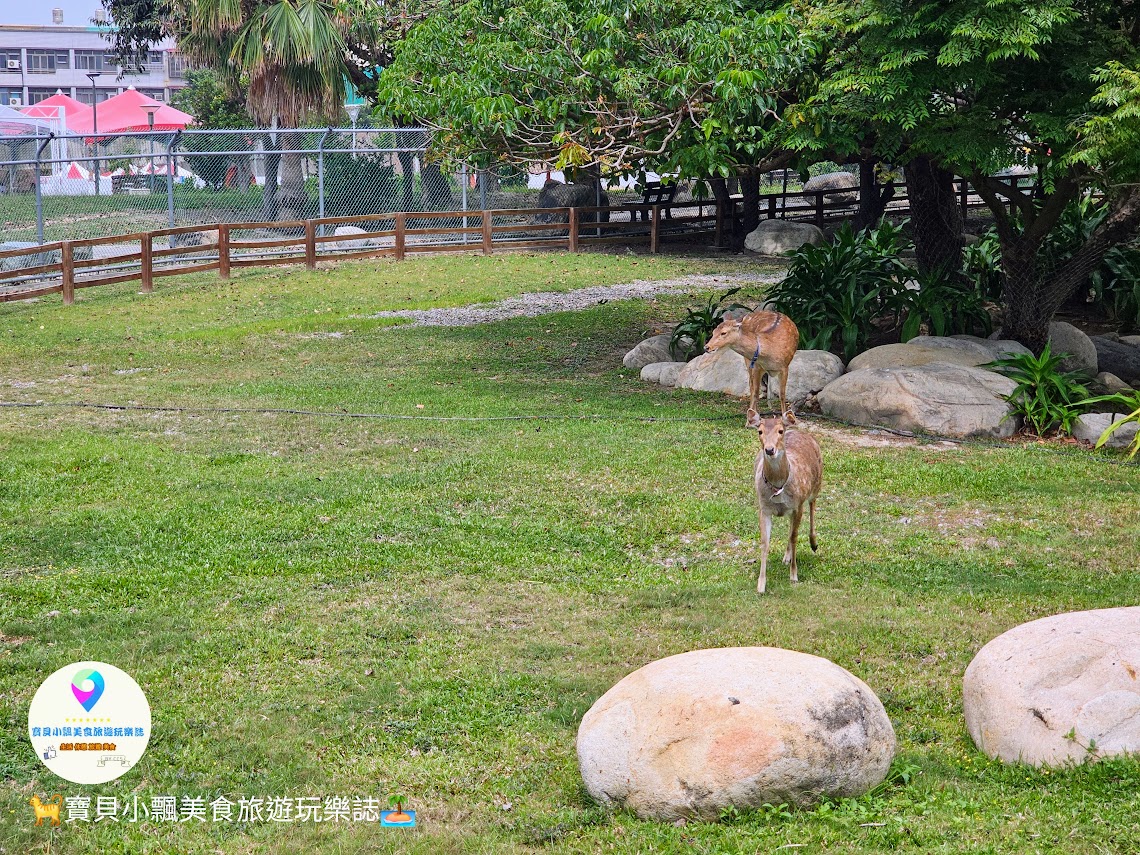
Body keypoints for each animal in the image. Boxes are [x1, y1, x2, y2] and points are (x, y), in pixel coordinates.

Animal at [749, 409, 822, 594]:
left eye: (780, 431)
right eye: (759, 431)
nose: (769, 449)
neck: (778, 487)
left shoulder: (797, 506)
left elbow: (794, 537)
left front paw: (794, 576)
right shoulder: (764, 508)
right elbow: (765, 542)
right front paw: (761, 585)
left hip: (816, 484)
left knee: (813, 505)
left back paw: (813, 543)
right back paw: (786, 557)